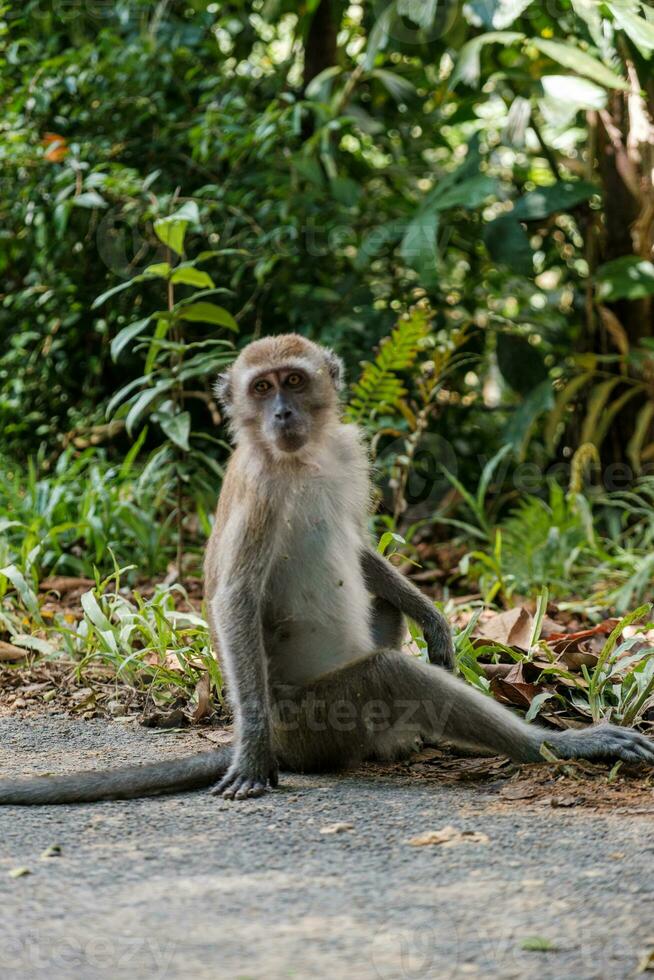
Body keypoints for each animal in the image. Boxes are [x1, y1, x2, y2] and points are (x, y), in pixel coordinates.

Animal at [2, 332, 652, 804]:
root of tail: (295, 747)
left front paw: (434, 621)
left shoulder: (347, 452)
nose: (283, 413)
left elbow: (358, 545)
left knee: (382, 611)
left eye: (293, 380)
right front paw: (251, 751)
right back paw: (555, 747)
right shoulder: (261, 488)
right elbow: (236, 596)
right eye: (261, 388)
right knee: (391, 676)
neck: (302, 457)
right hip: (316, 721)